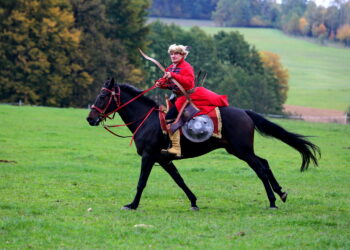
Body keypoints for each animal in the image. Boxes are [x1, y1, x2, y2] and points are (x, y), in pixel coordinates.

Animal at [85, 78, 320, 211]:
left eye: (103, 95)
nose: (90, 118)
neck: (147, 119)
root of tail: (245, 113)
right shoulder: (164, 159)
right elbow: (179, 181)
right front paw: (194, 201)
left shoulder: (149, 157)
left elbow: (141, 182)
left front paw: (132, 205)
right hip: (240, 150)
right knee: (265, 163)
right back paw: (280, 193)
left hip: (242, 151)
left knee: (260, 169)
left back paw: (272, 201)